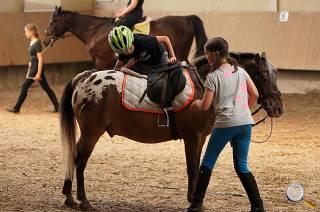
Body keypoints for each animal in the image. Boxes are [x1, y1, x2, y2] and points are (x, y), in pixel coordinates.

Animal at [43, 6, 208, 70]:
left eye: (51, 22)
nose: (45, 41)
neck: (95, 31)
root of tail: (186, 18)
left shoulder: (101, 62)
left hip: (180, 53)